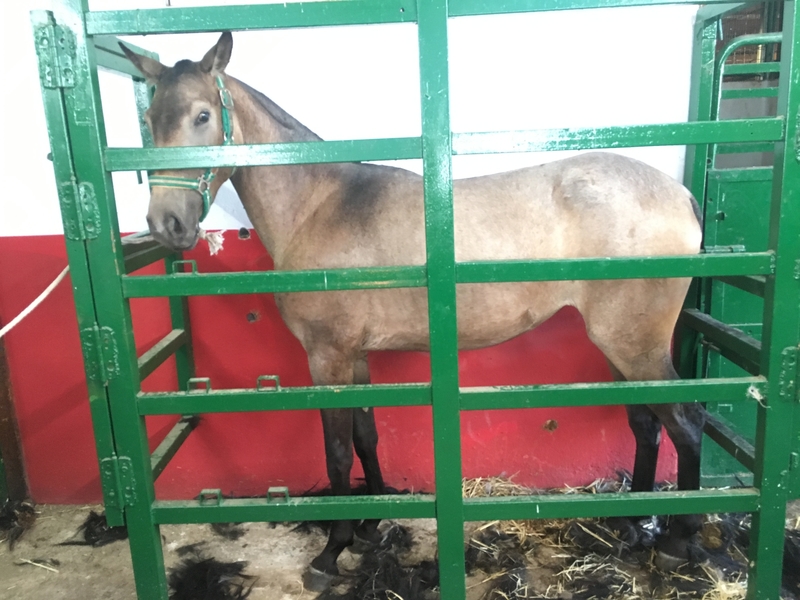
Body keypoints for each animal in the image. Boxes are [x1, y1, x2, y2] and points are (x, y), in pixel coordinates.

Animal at [121, 32, 705, 591]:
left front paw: (331, 552)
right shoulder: (354, 357)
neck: (319, 204)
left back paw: (679, 540)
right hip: (621, 347)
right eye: (148, 122)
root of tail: (679, 194)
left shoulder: (327, 358)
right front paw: (370, 527)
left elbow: (337, 451)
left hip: (634, 345)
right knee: (647, 425)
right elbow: (365, 436)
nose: (167, 224)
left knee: (686, 424)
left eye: (202, 115)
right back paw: (632, 527)